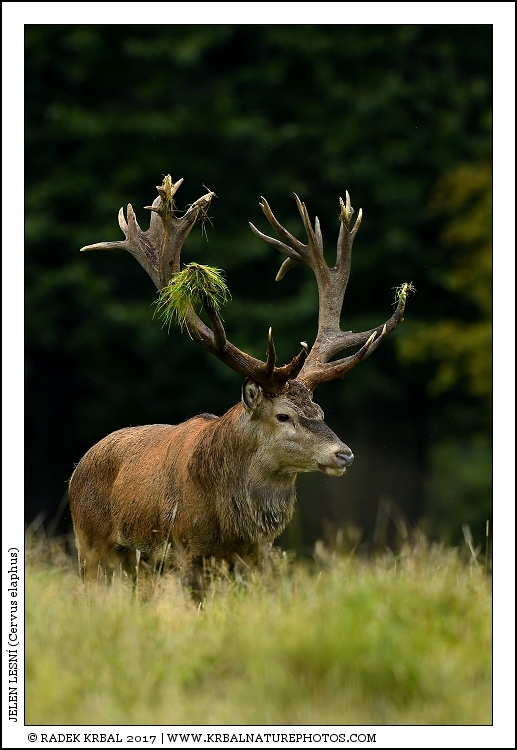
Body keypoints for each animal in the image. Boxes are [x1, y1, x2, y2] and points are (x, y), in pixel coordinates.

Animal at [69, 176, 411, 596]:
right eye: (283, 416)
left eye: (320, 411)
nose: (343, 454)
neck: (228, 524)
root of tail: (77, 468)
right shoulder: (185, 548)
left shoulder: (257, 555)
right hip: (91, 546)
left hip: (138, 567)